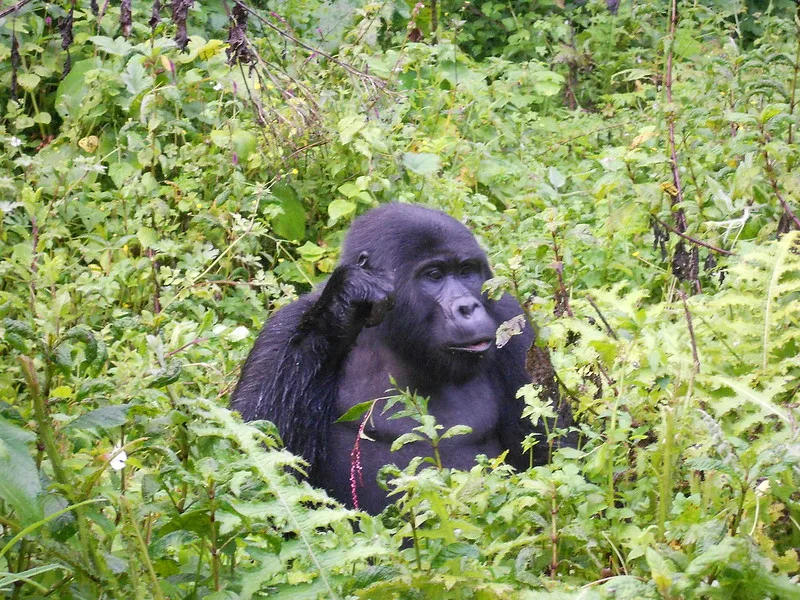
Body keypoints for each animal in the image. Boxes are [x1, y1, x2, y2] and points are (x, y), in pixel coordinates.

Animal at [233, 204, 576, 512]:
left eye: (467, 271)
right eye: (434, 275)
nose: (468, 307)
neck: (391, 334)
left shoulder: (513, 324)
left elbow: (555, 456)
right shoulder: (281, 329)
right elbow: (259, 462)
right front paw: (341, 303)